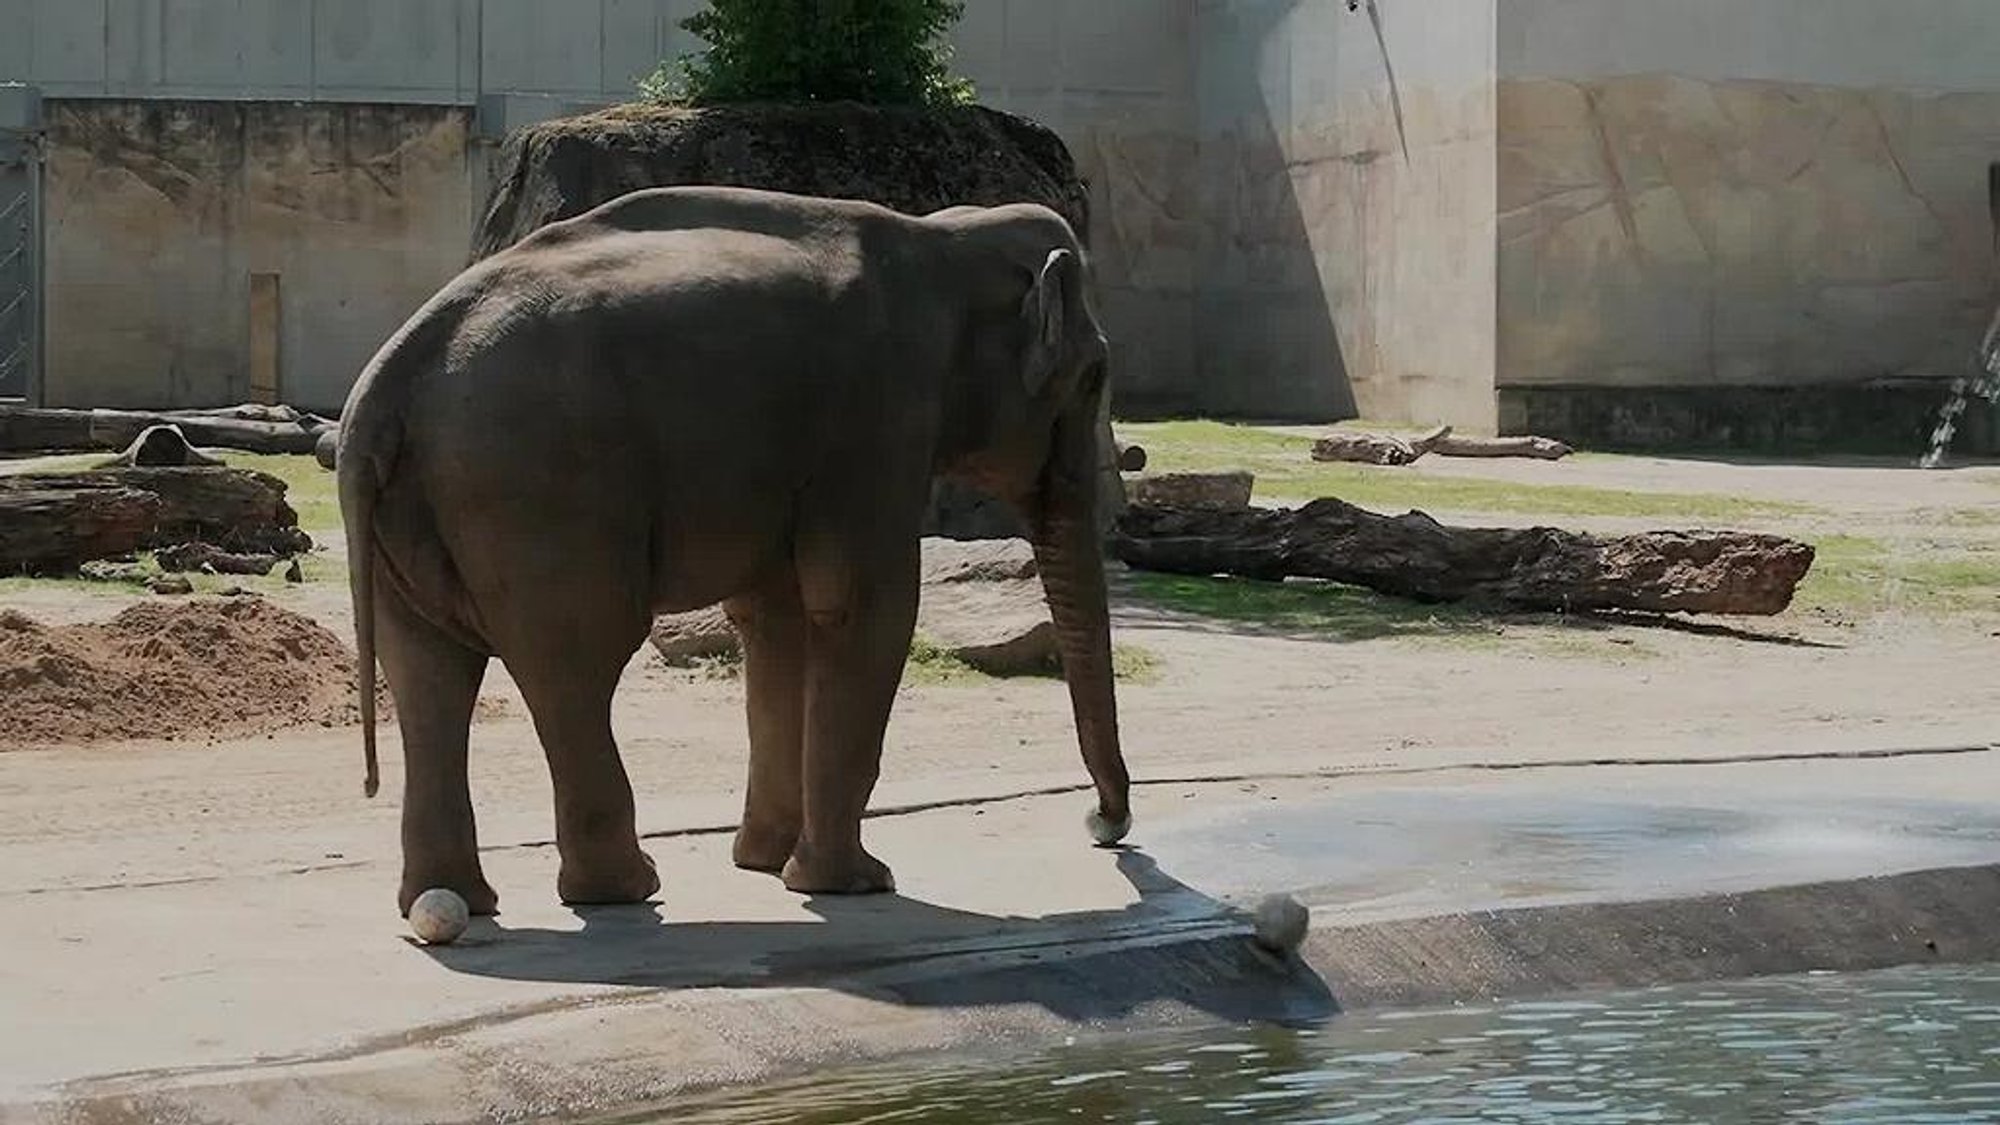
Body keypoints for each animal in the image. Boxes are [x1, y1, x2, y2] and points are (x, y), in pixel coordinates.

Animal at [337, 185, 1134, 916]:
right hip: (538, 490)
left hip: (421, 510)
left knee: (431, 669)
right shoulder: (877, 418)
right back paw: (624, 888)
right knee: (577, 661)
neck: (945, 240)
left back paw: (457, 897)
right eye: (1093, 374)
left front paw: (766, 862)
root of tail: (386, 382)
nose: (1101, 822)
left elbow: (777, 619)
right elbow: (865, 608)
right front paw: (851, 882)